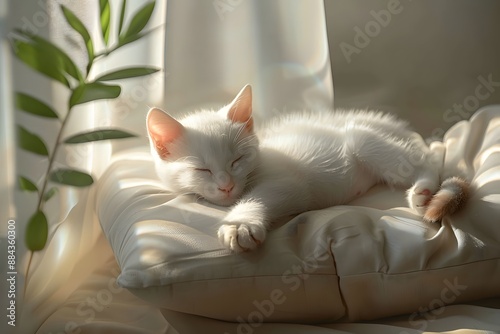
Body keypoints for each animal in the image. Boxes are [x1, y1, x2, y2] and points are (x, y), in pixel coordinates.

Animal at [147, 85, 468, 252]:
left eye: (238, 159)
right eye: (201, 170)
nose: (226, 186)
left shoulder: (288, 182)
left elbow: (264, 194)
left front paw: (239, 223)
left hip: (362, 139)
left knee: (426, 161)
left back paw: (423, 190)